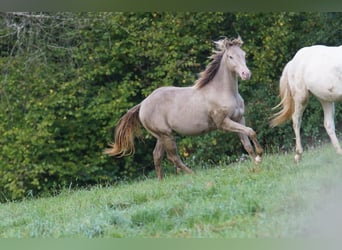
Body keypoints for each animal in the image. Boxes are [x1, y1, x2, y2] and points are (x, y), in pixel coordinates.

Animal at [105, 36, 264, 178]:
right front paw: (260, 155)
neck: (222, 92)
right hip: (166, 135)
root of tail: (143, 103)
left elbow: (247, 142)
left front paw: (256, 164)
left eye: (244, 54)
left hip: (162, 136)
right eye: (230, 56)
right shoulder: (223, 123)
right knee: (173, 157)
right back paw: (193, 175)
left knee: (157, 155)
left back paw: (161, 182)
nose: (246, 74)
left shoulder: (239, 119)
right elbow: (251, 131)